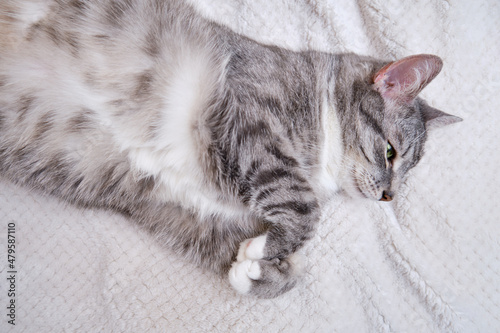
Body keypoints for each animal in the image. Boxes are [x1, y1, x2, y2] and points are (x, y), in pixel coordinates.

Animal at [0, 0, 460, 296]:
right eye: (391, 153)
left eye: (407, 171)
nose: (389, 195)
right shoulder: (247, 114)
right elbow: (304, 209)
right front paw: (268, 251)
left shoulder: (176, 205)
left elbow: (248, 254)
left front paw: (258, 271)